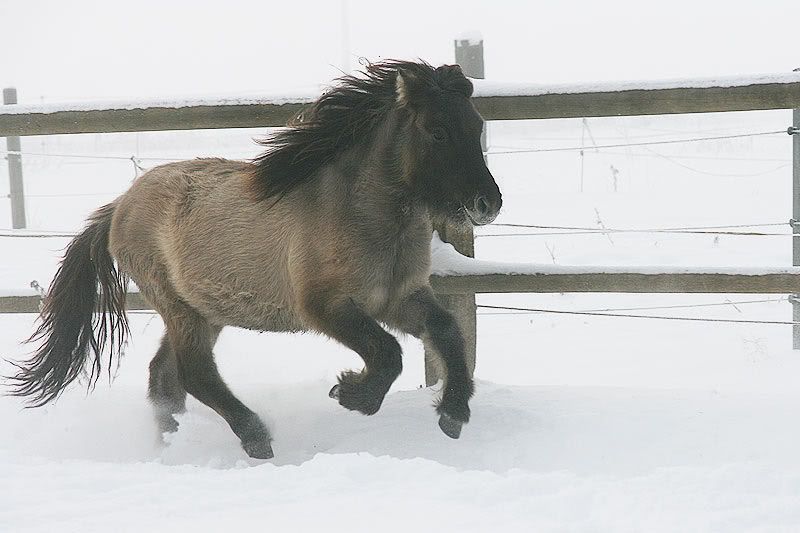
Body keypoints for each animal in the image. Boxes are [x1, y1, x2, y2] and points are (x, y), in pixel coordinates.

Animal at [7, 60, 503, 459]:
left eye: (477, 126)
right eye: (437, 130)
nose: (488, 204)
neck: (362, 214)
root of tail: (121, 205)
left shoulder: (399, 298)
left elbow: (446, 332)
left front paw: (452, 414)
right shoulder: (325, 307)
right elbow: (388, 352)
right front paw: (350, 392)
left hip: (204, 311)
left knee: (165, 377)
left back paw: (171, 444)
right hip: (179, 307)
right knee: (195, 374)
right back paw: (256, 439)